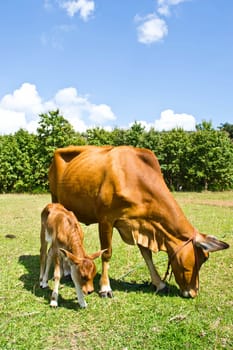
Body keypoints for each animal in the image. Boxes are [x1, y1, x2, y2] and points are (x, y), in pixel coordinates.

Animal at [48, 145, 228, 298]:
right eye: (202, 258)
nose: (193, 293)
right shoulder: (106, 219)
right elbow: (107, 253)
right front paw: (105, 287)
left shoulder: (141, 224)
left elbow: (146, 254)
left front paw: (159, 283)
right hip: (55, 198)